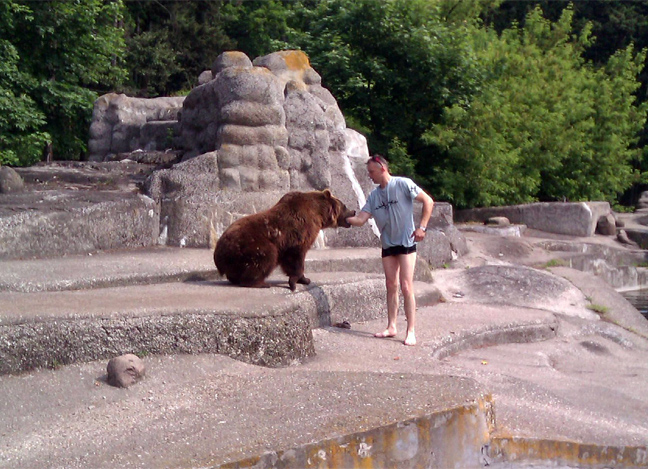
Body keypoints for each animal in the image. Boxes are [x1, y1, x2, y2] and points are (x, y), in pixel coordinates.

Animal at [214, 189, 354, 288]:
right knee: (267, 255)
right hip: (250, 246)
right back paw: (260, 283)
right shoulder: (299, 233)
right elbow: (296, 257)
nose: (354, 211)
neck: (319, 214)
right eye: (344, 205)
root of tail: (219, 253)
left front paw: (303, 279)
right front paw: (299, 280)